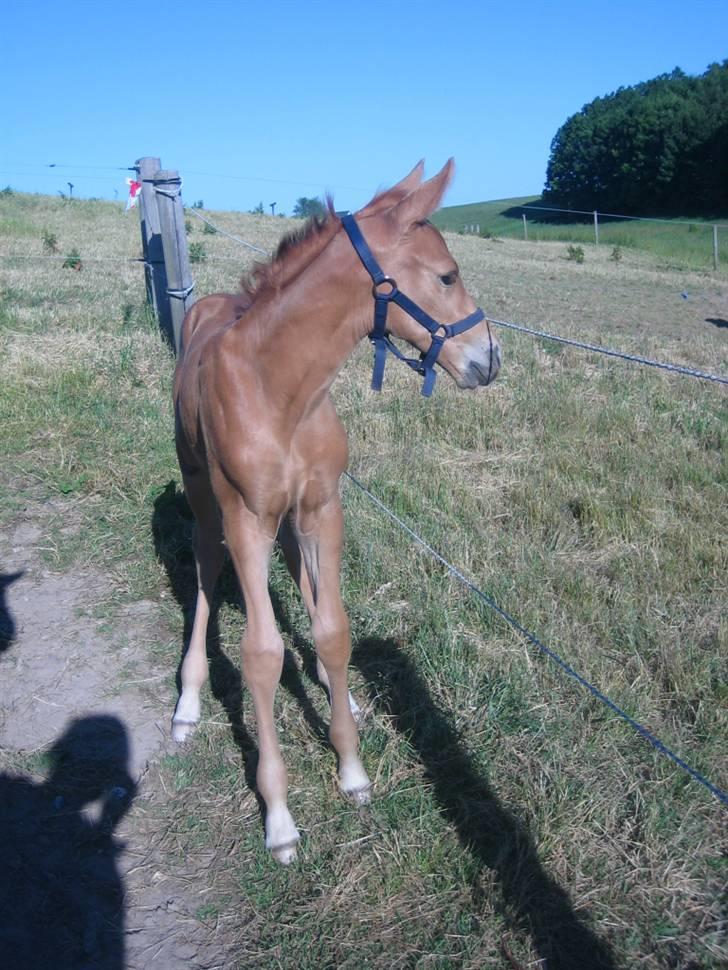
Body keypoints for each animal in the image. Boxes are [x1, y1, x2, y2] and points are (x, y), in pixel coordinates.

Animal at [172, 161, 500, 864]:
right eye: (447, 275)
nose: (490, 359)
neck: (279, 388)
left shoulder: (324, 508)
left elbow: (333, 629)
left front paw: (351, 767)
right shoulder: (246, 520)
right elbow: (262, 653)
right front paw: (278, 816)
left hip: (294, 521)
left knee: (300, 577)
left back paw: (327, 681)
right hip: (206, 498)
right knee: (207, 572)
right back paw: (187, 702)